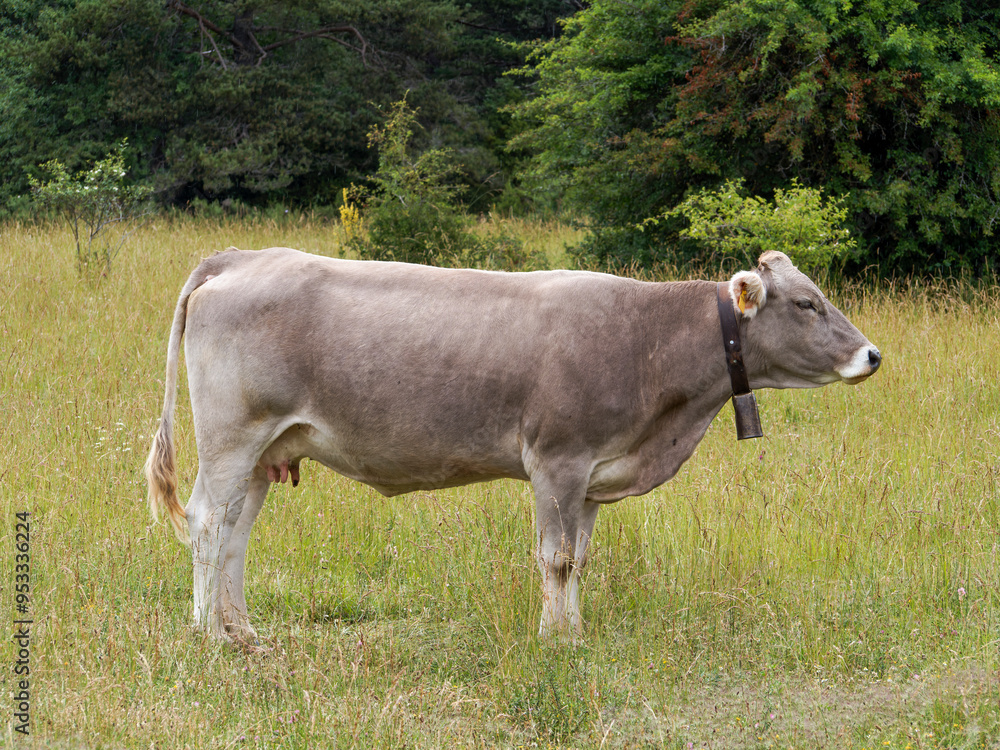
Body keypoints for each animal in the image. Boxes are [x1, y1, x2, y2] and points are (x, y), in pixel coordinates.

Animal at [146, 248, 881, 643]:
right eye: (807, 303)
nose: (872, 355)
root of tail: (243, 256)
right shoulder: (557, 460)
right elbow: (555, 559)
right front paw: (554, 641)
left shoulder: (592, 477)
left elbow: (580, 561)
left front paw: (575, 632)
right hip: (230, 437)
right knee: (208, 524)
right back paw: (208, 634)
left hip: (265, 452)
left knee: (235, 534)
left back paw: (243, 632)